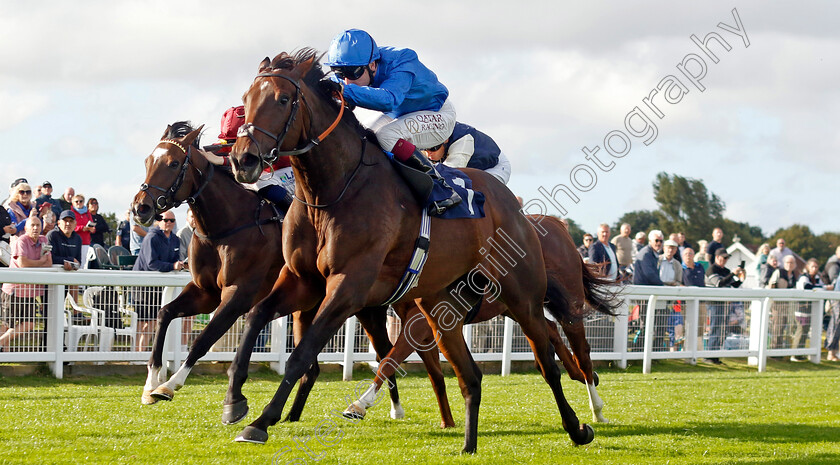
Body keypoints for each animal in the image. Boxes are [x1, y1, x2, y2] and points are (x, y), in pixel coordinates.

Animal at [131, 122, 404, 420]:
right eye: (147, 161)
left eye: (173, 163)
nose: (141, 207)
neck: (226, 226)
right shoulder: (206, 292)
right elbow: (164, 313)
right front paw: (150, 384)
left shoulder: (239, 294)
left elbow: (203, 339)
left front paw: (170, 384)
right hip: (309, 306)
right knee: (317, 368)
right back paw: (293, 416)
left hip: (365, 306)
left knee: (385, 352)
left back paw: (390, 408)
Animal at [223, 49, 592, 452]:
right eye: (245, 100)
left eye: (282, 99)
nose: (242, 159)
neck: (333, 191)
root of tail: (517, 207)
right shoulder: (303, 281)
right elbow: (255, 317)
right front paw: (234, 401)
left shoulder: (349, 287)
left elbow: (302, 355)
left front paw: (261, 421)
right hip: (441, 307)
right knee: (471, 376)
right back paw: (468, 445)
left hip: (522, 296)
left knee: (550, 363)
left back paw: (579, 427)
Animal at [344, 214, 620, 424]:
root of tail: (557, 225)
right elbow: (429, 370)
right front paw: (444, 421)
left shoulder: (421, 320)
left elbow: (390, 360)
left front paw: (360, 403)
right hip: (515, 306)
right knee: (551, 331)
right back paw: (578, 374)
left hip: (567, 300)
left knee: (582, 351)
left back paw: (596, 408)